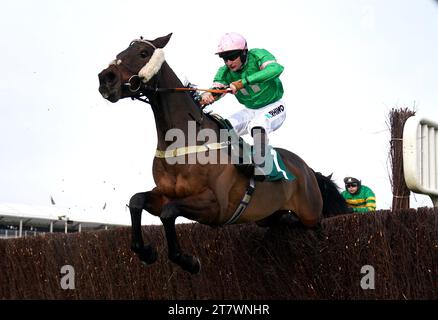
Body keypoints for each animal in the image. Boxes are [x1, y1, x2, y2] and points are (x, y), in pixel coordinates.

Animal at [97, 33, 348, 274]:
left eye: (142, 53)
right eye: (120, 52)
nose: (105, 79)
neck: (183, 142)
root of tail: (307, 168)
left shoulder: (215, 206)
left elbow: (168, 213)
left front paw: (189, 262)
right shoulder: (165, 194)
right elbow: (137, 201)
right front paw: (146, 252)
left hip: (310, 211)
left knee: (316, 225)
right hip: (267, 216)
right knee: (284, 220)